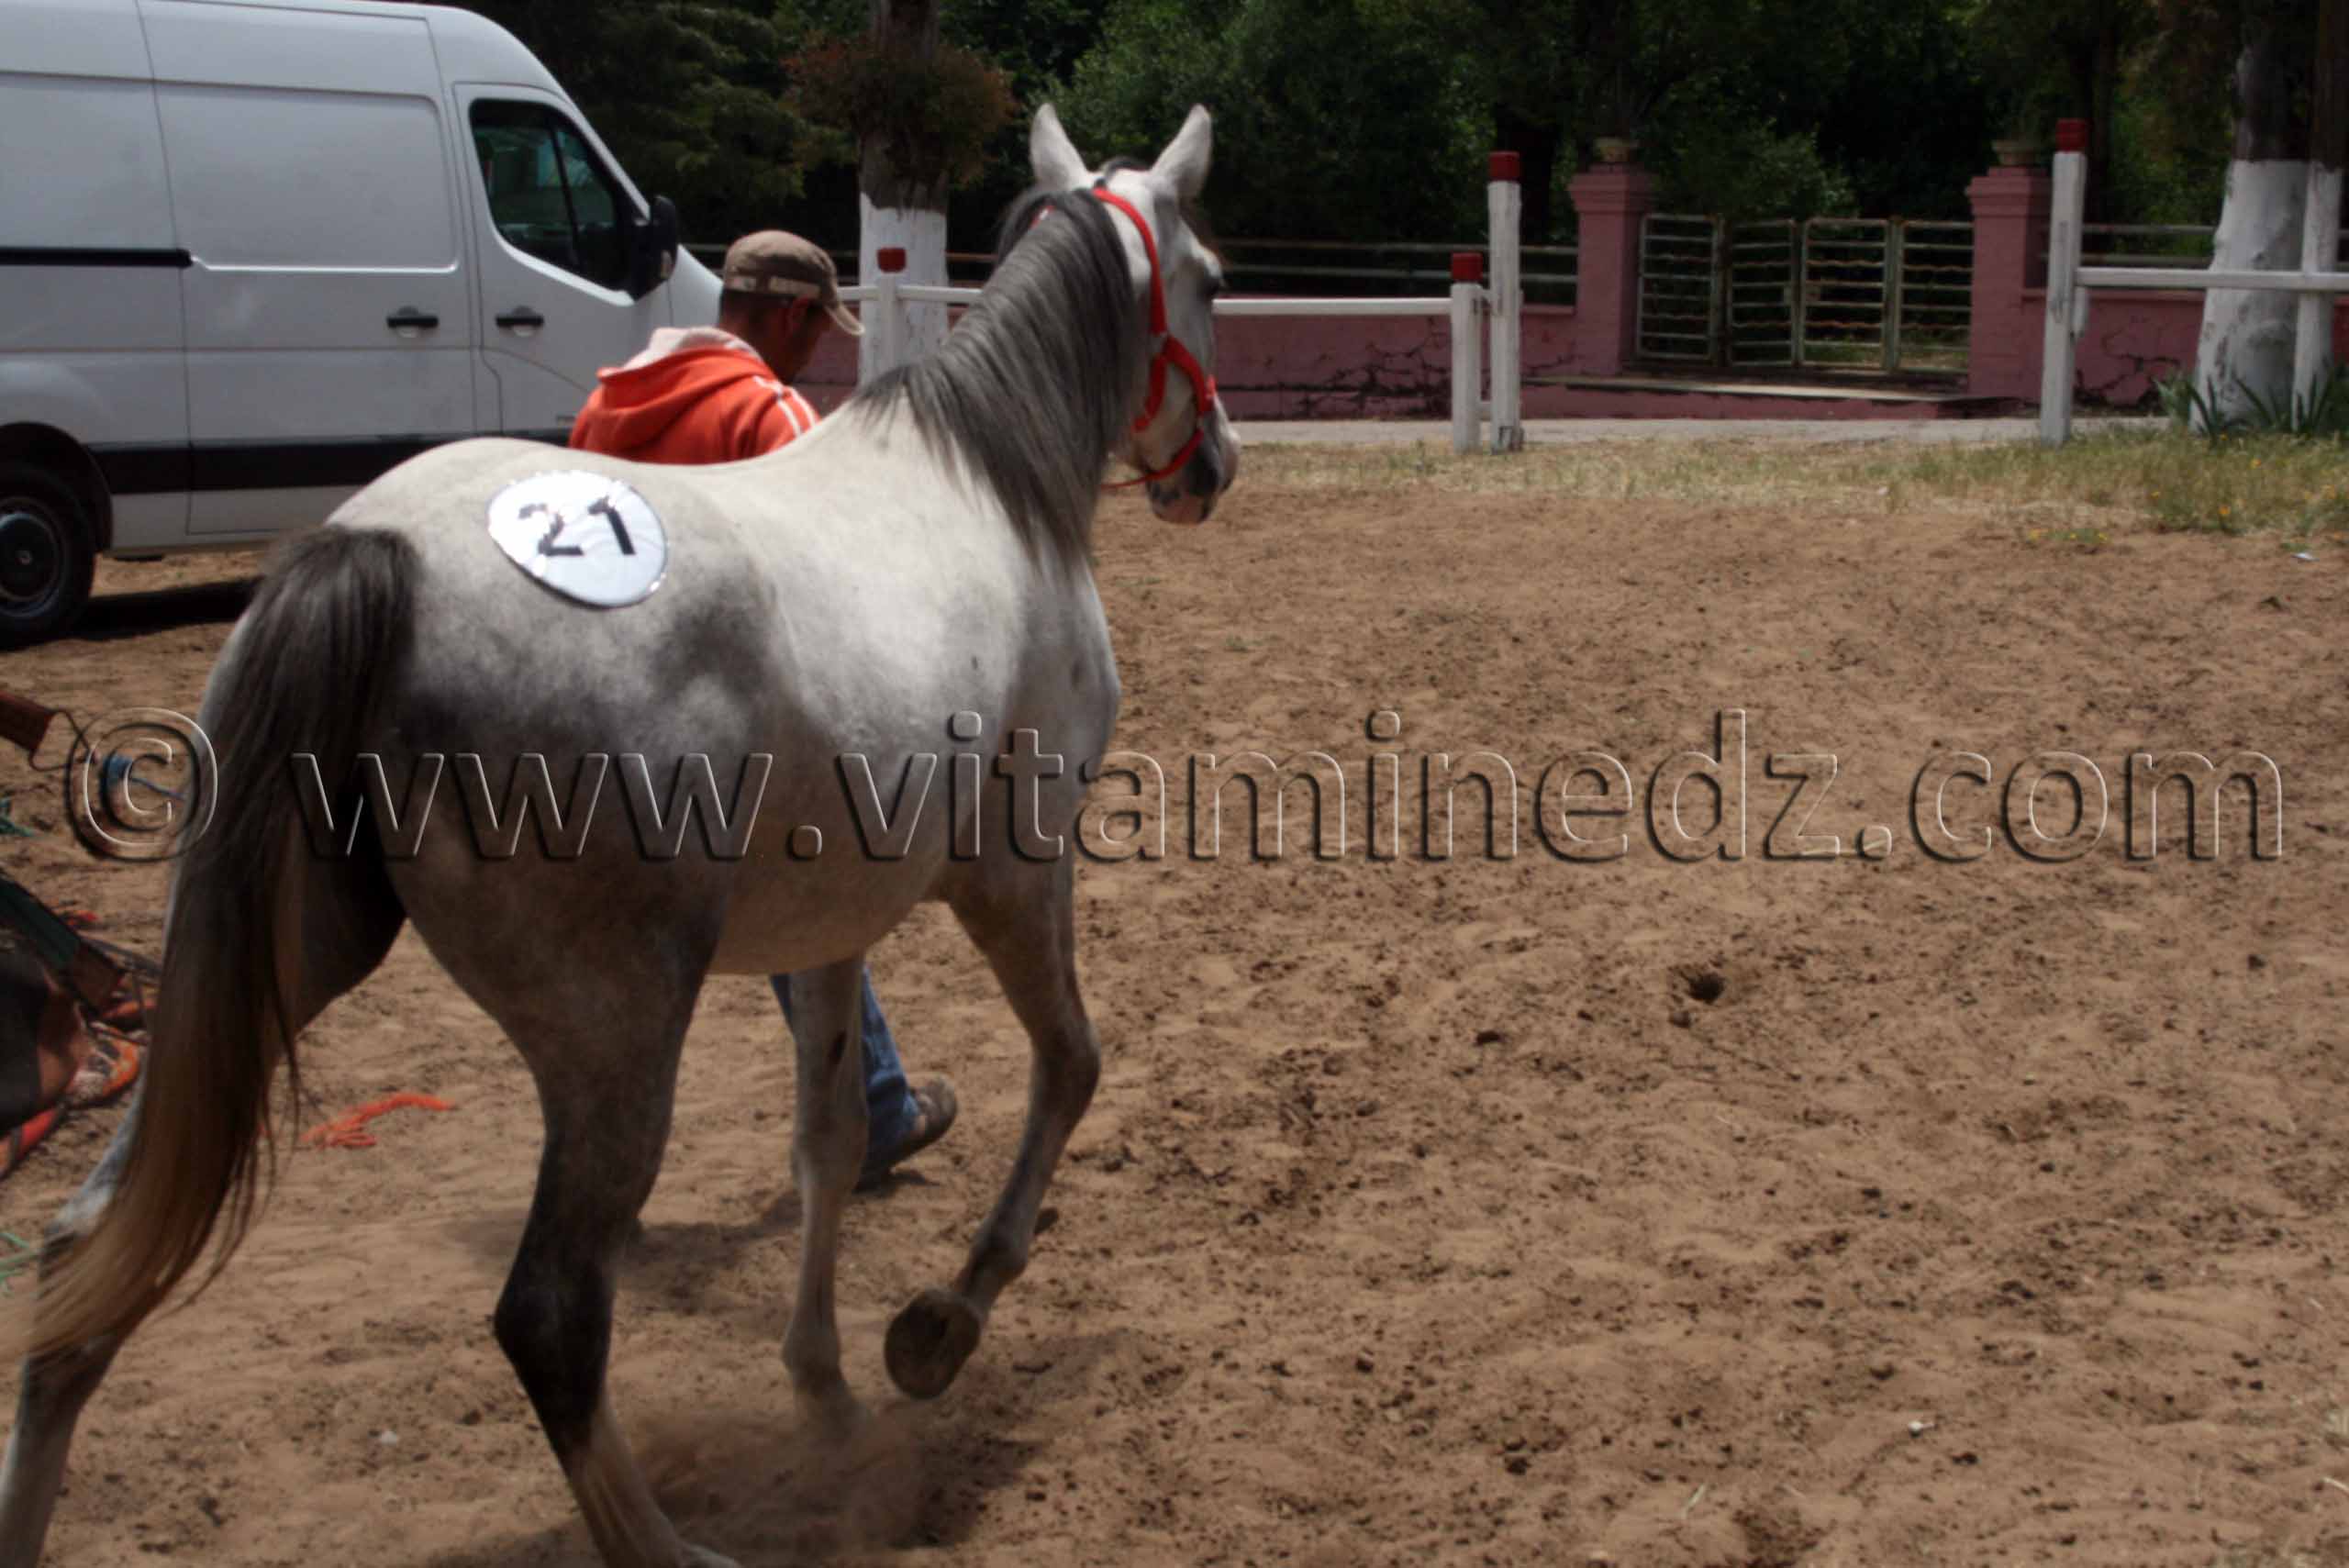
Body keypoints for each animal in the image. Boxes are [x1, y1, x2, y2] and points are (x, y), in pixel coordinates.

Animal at [0, 102, 1237, 1568]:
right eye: (1213, 278)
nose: (1212, 467)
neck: (989, 487)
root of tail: (373, 557)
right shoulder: (1011, 875)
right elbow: (1071, 1066)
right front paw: (940, 1325)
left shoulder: (829, 926)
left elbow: (827, 1141)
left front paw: (823, 1387)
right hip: (618, 1035)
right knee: (550, 1313)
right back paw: (665, 1538)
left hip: (272, 970)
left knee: (83, 1252)